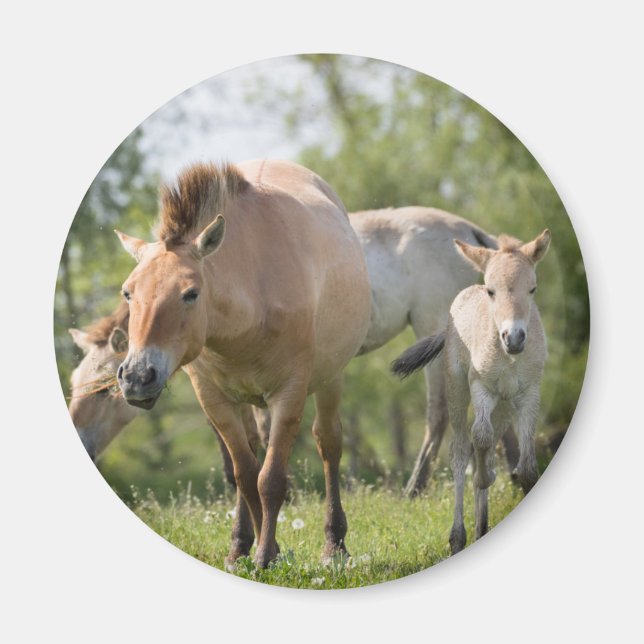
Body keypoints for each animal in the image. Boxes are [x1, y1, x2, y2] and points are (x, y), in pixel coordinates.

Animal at [113, 159, 371, 568]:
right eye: (128, 292)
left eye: (190, 293)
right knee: (250, 454)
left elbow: (271, 479)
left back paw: (334, 544)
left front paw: (266, 556)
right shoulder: (214, 400)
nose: (137, 377)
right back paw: (241, 544)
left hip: (331, 380)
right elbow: (247, 474)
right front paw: (263, 550)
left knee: (328, 444)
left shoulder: (289, 395)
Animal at [391, 230, 550, 554]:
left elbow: (527, 467)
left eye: (532, 289)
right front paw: (484, 480)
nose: (514, 338)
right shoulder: (481, 389)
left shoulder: (529, 394)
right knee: (462, 451)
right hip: (457, 390)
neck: (507, 357)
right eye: (491, 291)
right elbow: (480, 442)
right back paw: (458, 537)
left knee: (485, 448)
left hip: (504, 407)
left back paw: (481, 528)